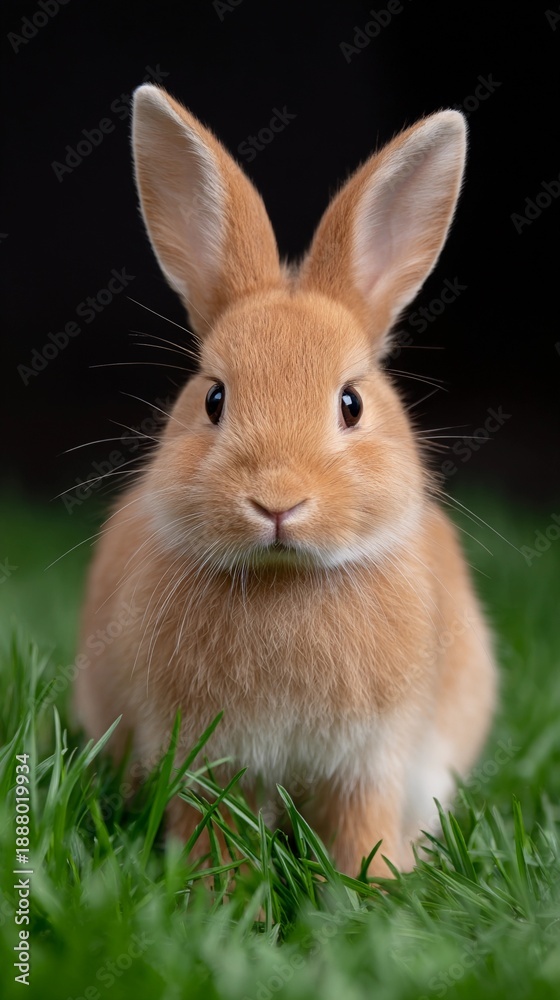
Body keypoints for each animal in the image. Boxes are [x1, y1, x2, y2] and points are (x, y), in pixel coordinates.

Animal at [73, 83, 497, 878]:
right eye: (214, 399)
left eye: (351, 403)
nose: (277, 500)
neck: (284, 581)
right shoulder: (206, 760)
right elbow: (213, 831)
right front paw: (216, 893)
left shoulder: (372, 760)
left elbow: (361, 828)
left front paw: (370, 889)